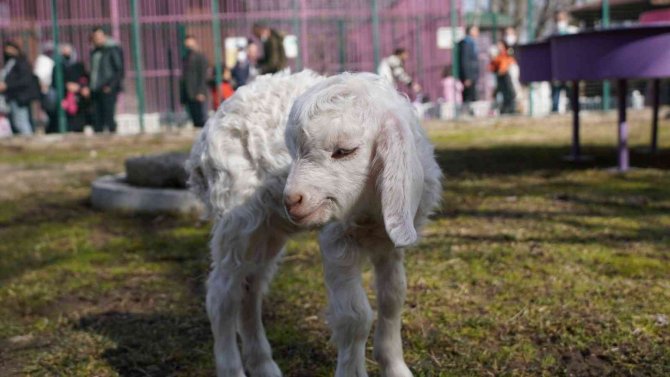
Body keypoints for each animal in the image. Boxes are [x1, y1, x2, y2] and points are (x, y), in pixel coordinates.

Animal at [186, 71, 444, 376]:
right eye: (294, 150)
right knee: (221, 295)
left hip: (267, 228)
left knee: (250, 289)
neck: (368, 209)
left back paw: (264, 365)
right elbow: (354, 316)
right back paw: (233, 368)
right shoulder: (337, 240)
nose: (291, 200)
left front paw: (395, 367)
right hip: (236, 216)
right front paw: (352, 371)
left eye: (344, 151)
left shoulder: (389, 241)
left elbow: (393, 298)